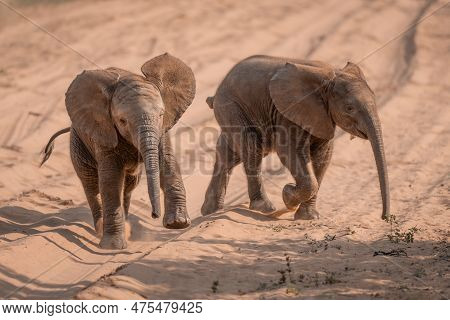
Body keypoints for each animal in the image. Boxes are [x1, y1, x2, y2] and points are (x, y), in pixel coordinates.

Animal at [41, 53, 195, 250]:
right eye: (122, 121)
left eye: (161, 115)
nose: (154, 215)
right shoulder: (103, 130)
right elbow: (110, 180)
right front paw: (112, 246)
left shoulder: (162, 128)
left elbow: (167, 162)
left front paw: (178, 224)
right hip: (78, 144)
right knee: (91, 185)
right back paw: (101, 228)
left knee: (129, 186)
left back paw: (126, 222)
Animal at [203, 55, 390, 220]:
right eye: (349, 108)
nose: (385, 217)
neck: (329, 76)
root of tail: (217, 91)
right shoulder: (288, 111)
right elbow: (289, 151)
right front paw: (287, 195)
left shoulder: (322, 116)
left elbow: (323, 157)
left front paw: (308, 217)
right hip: (231, 106)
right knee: (251, 144)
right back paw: (263, 207)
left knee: (230, 153)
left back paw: (211, 211)